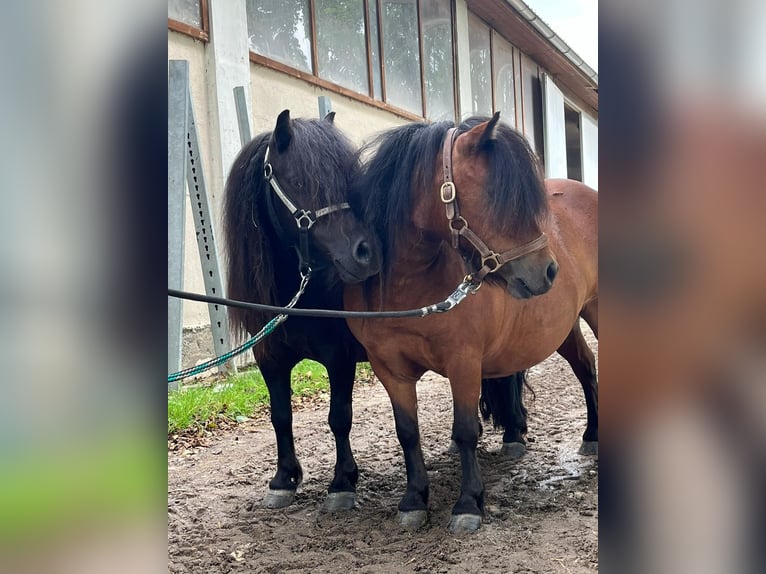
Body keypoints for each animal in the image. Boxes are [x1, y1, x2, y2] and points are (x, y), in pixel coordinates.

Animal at [224, 110, 382, 510]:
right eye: (298, 180)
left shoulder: (339, 358)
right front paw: (284, 478)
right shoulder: (269, 359)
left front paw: (342, 482)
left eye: (347, 178)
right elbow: (280, 416)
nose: (366, 253)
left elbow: (339, 416)